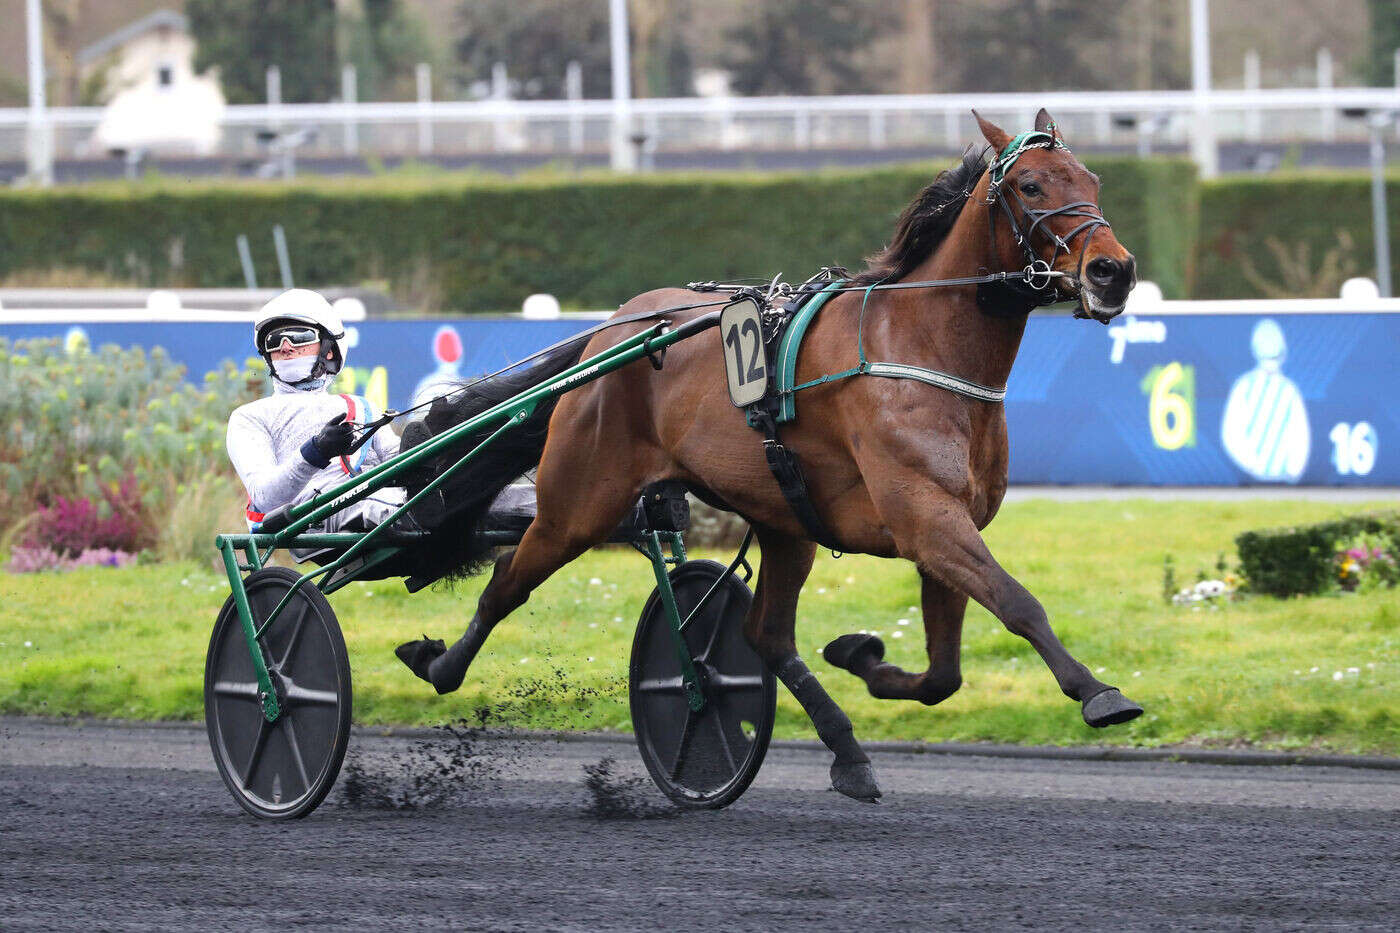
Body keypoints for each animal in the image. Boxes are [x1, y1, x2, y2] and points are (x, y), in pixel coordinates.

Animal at [394, 112, 1136, 801]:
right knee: (508, 579)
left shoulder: (948, 522)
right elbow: (1018, 603)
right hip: (580, 501)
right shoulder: (925, 516)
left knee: (766, 634)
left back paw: (847, 753)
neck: (921, 345)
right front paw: (1098, 692)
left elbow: (943, 673)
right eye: (1031, 184)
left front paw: (861, 655)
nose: (1114, 270)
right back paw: (440, 664)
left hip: (784, 517)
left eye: (1094, 180)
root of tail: (611, 332)